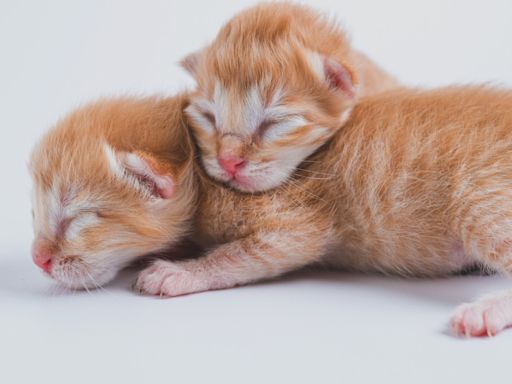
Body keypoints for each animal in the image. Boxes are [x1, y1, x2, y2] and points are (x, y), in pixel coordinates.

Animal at [31, 86, 512, 336]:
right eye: (36, 215)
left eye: (76, 218)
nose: (38, 259)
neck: (201, 163)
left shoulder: (295, 220)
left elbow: (242, 254)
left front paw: (180, 272)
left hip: (480, 196)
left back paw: (485, 311)